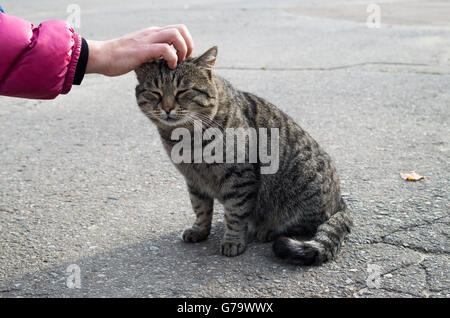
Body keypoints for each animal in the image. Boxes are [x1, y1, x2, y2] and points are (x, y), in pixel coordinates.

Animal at [134, 46, 352, 266]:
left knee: (306, 224)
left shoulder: (239, 177)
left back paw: (268, 230)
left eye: (183, 91)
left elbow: (235, 213)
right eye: (155, 92)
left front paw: (233, 240)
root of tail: (340, 200)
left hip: (302, 184)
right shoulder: (194, 180)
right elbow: (200, 208)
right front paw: (200, 230)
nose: (167, 108)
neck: (186, 139)